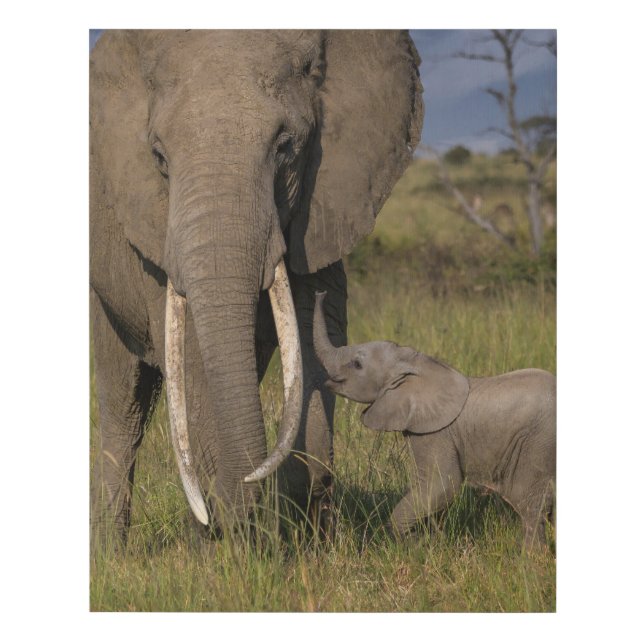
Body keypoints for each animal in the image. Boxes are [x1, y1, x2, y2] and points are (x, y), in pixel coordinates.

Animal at [90, 30, 424, 546]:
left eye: (286, 147)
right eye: (159, 157)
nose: (235, 516)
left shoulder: (320, 209)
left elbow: (314, 340)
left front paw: (307, 540)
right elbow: (192, 359)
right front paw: (230, 546)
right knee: (125, 402)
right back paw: (115, 551)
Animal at [313, 292, 556, 550]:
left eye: (357, 365)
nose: (321, 294)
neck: (415, 364)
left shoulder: (436, 432)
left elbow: (442, 483)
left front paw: (412, 544)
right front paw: (428, 540)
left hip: (537, 444)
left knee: (529, 502)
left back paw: (530, 556)